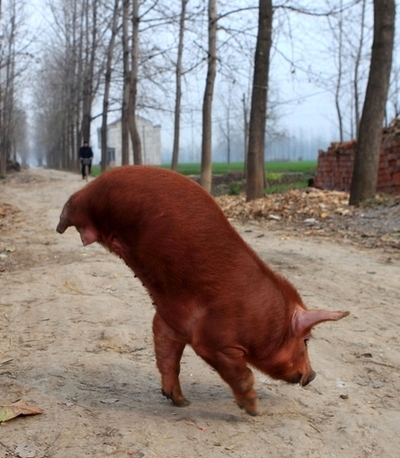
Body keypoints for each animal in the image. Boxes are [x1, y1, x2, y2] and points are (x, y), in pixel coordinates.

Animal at [57, 165, 348, 416]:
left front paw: (180, 402)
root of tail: (101, 178)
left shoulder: (169, 322)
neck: (267, 321)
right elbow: (239, 372)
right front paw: (253, 410)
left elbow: (168, 358)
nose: (313, 375)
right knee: (70, 205)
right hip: (88, 203)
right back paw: (60, 226)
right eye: (306, 340)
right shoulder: (212, 338)